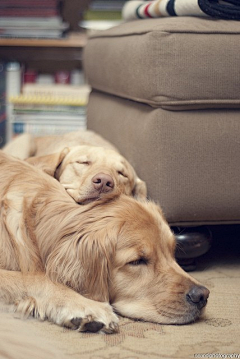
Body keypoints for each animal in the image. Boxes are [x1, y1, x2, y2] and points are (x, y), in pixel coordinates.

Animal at [0, 151, 210, 334]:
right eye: (137, 261)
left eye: (172, 252)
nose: (202, 295)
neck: (33, 221)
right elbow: (35, 278)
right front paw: (86, 306)